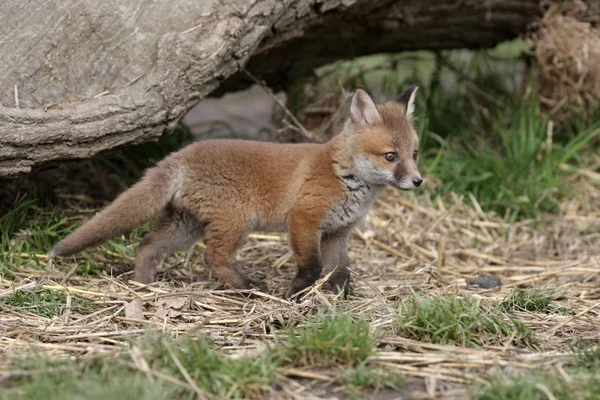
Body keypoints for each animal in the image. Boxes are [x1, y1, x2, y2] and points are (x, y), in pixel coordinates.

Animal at [51, 86, 422, 296]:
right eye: (391, 157)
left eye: (414, 154)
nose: (418, 181)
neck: (344, 175)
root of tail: (181, 154)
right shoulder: (304, 219)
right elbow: (312, 266)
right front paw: (294, 293)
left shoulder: (337, 232)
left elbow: (341, 270)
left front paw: (337, 295)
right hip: (237, 221)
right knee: (212, 256)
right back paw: (247, 287)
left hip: (186, 225)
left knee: (147, 246)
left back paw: (143, 288)